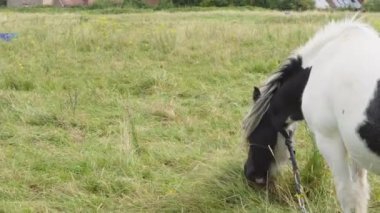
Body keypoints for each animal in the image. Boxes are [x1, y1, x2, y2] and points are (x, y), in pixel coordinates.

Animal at [243, 18, 380, 213]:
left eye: (253, 135)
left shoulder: (330, 141)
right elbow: (360, 193)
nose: (249, 173)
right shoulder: (355, 148)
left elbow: (348, 194)